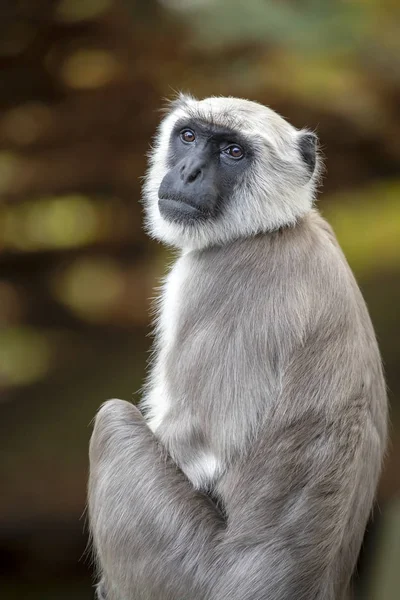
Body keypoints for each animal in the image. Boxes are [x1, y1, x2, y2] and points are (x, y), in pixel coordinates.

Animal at [88, 94, 388, 600]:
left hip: (183, 571)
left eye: (232, 152)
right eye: (189, 136)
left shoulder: (208, 281)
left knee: (113, 421)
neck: (272, 230)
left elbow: (201, 444)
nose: (189, 171)